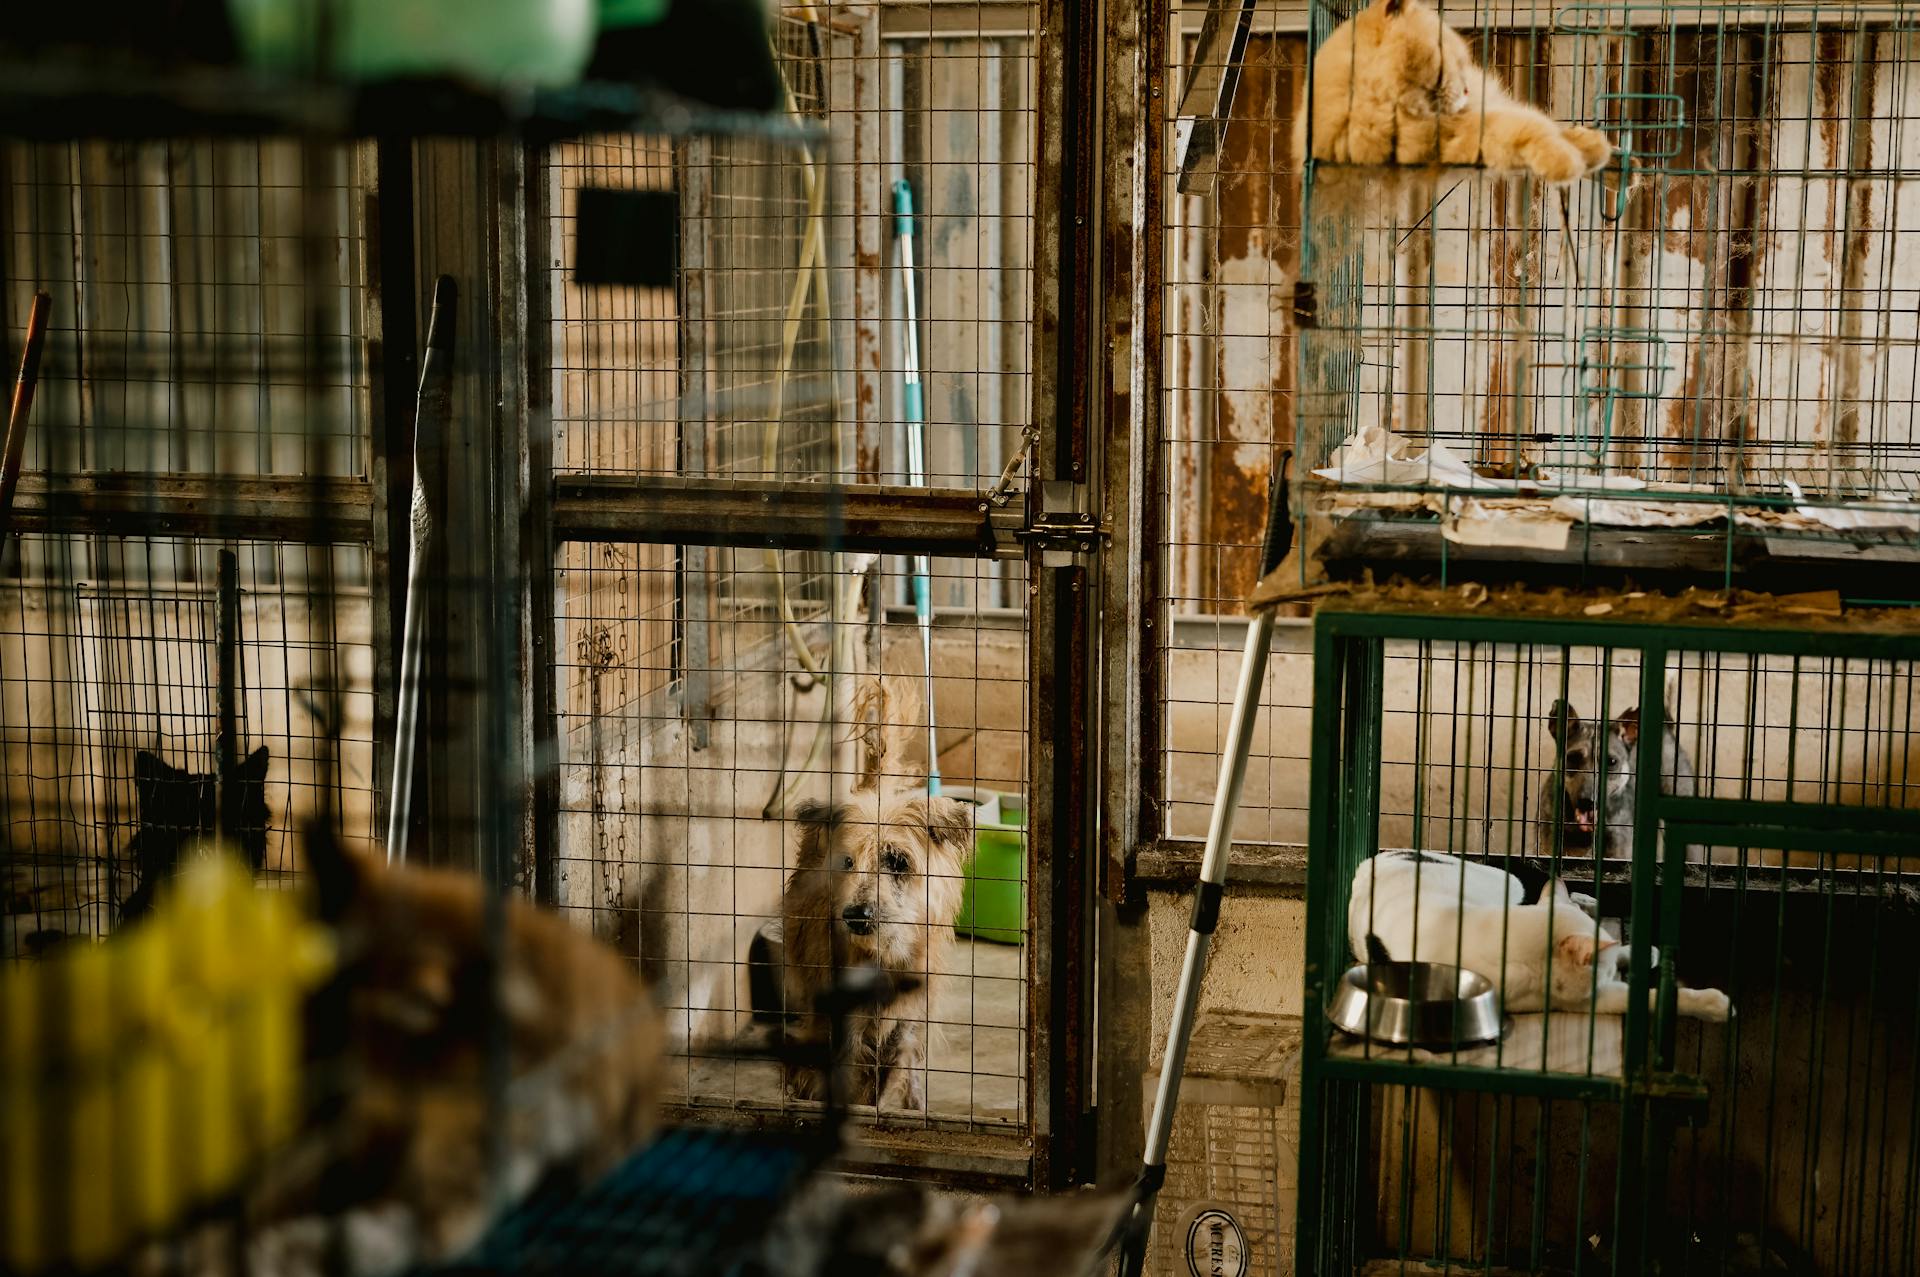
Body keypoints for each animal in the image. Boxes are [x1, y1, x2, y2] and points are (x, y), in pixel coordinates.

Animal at [775, 791, 975, 1113]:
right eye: (847, 861)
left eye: (897, 860)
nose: (856, 915)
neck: (885, 956)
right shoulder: (843, 1025)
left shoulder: (906, 1023)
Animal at [1297, 0, 1612, 181]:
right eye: (1449, 61)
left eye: (1463, 62)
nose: (1467, 91)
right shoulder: (1453, 140)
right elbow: (1524, 132)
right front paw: (1565, 163)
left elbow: (1536, 125)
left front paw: (1582, 152)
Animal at [1344, 852, 1735, 1021]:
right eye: (1605, 974)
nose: (1614, 971)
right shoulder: (1578, 998)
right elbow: (1637, 998)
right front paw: (1714, 1004)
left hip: (1501, 880)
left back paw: (1588, 901)